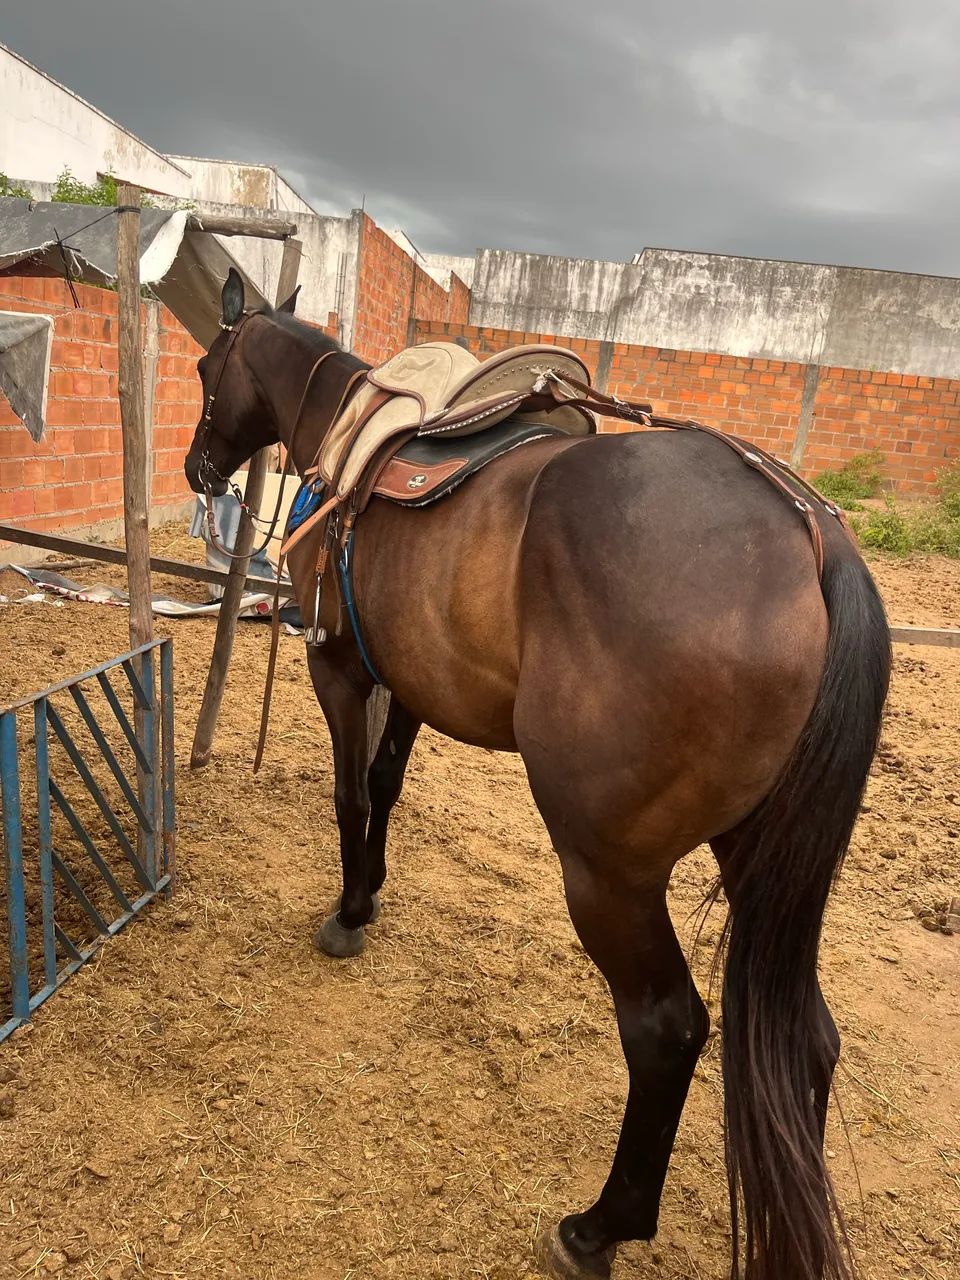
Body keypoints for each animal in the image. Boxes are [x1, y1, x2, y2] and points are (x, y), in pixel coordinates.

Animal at [184, 271, 890, 1280]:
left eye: (210, 367)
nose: (199, 470)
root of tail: (812, 539)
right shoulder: (412, 681)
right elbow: (388, 785)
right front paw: (373, 894)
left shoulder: (340, 669)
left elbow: (351, 793)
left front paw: (347, 913)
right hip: (761, 862)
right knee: (809, 1042)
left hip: (608, 873)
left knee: (667, 1029)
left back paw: (597, 1228)